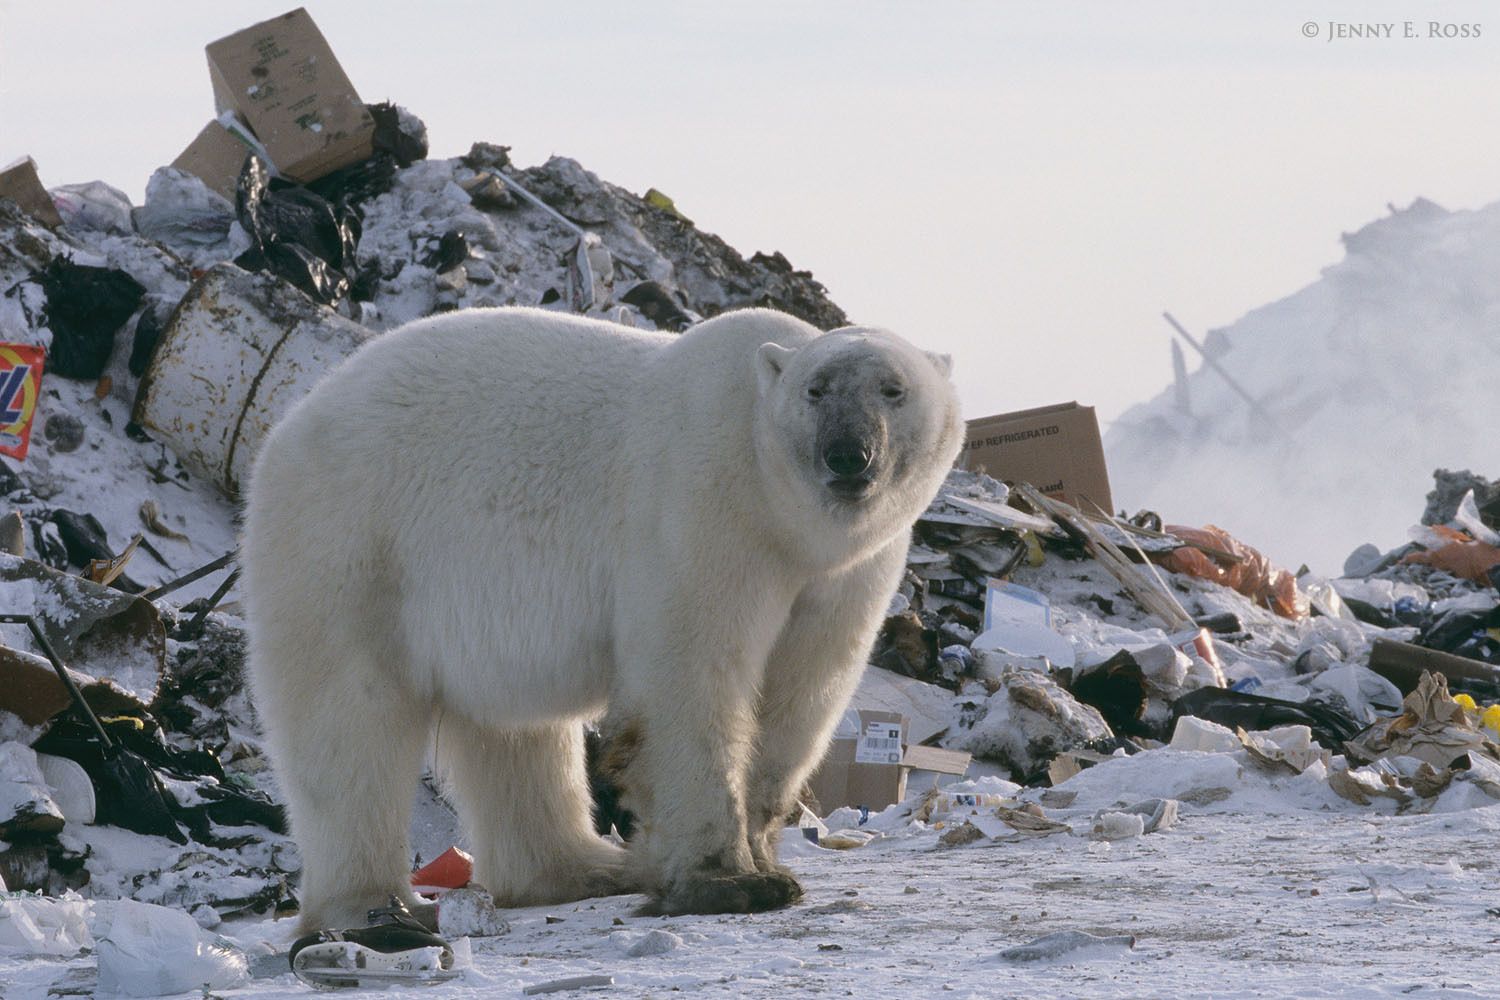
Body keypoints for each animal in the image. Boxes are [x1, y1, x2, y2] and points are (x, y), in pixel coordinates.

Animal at [234, 307, 960, 929]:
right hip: (352, 543)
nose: (848, 455)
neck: (780, 511)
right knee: (349, 718)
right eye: (816, 389)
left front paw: (764, 853)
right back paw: (370, 906)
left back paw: (588, 868)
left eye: (893, 390)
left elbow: (804, 691)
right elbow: (690, 675)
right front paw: (729, 881)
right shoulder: (700, 504)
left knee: (513, 733)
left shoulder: (847, 573)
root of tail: (288, 428)